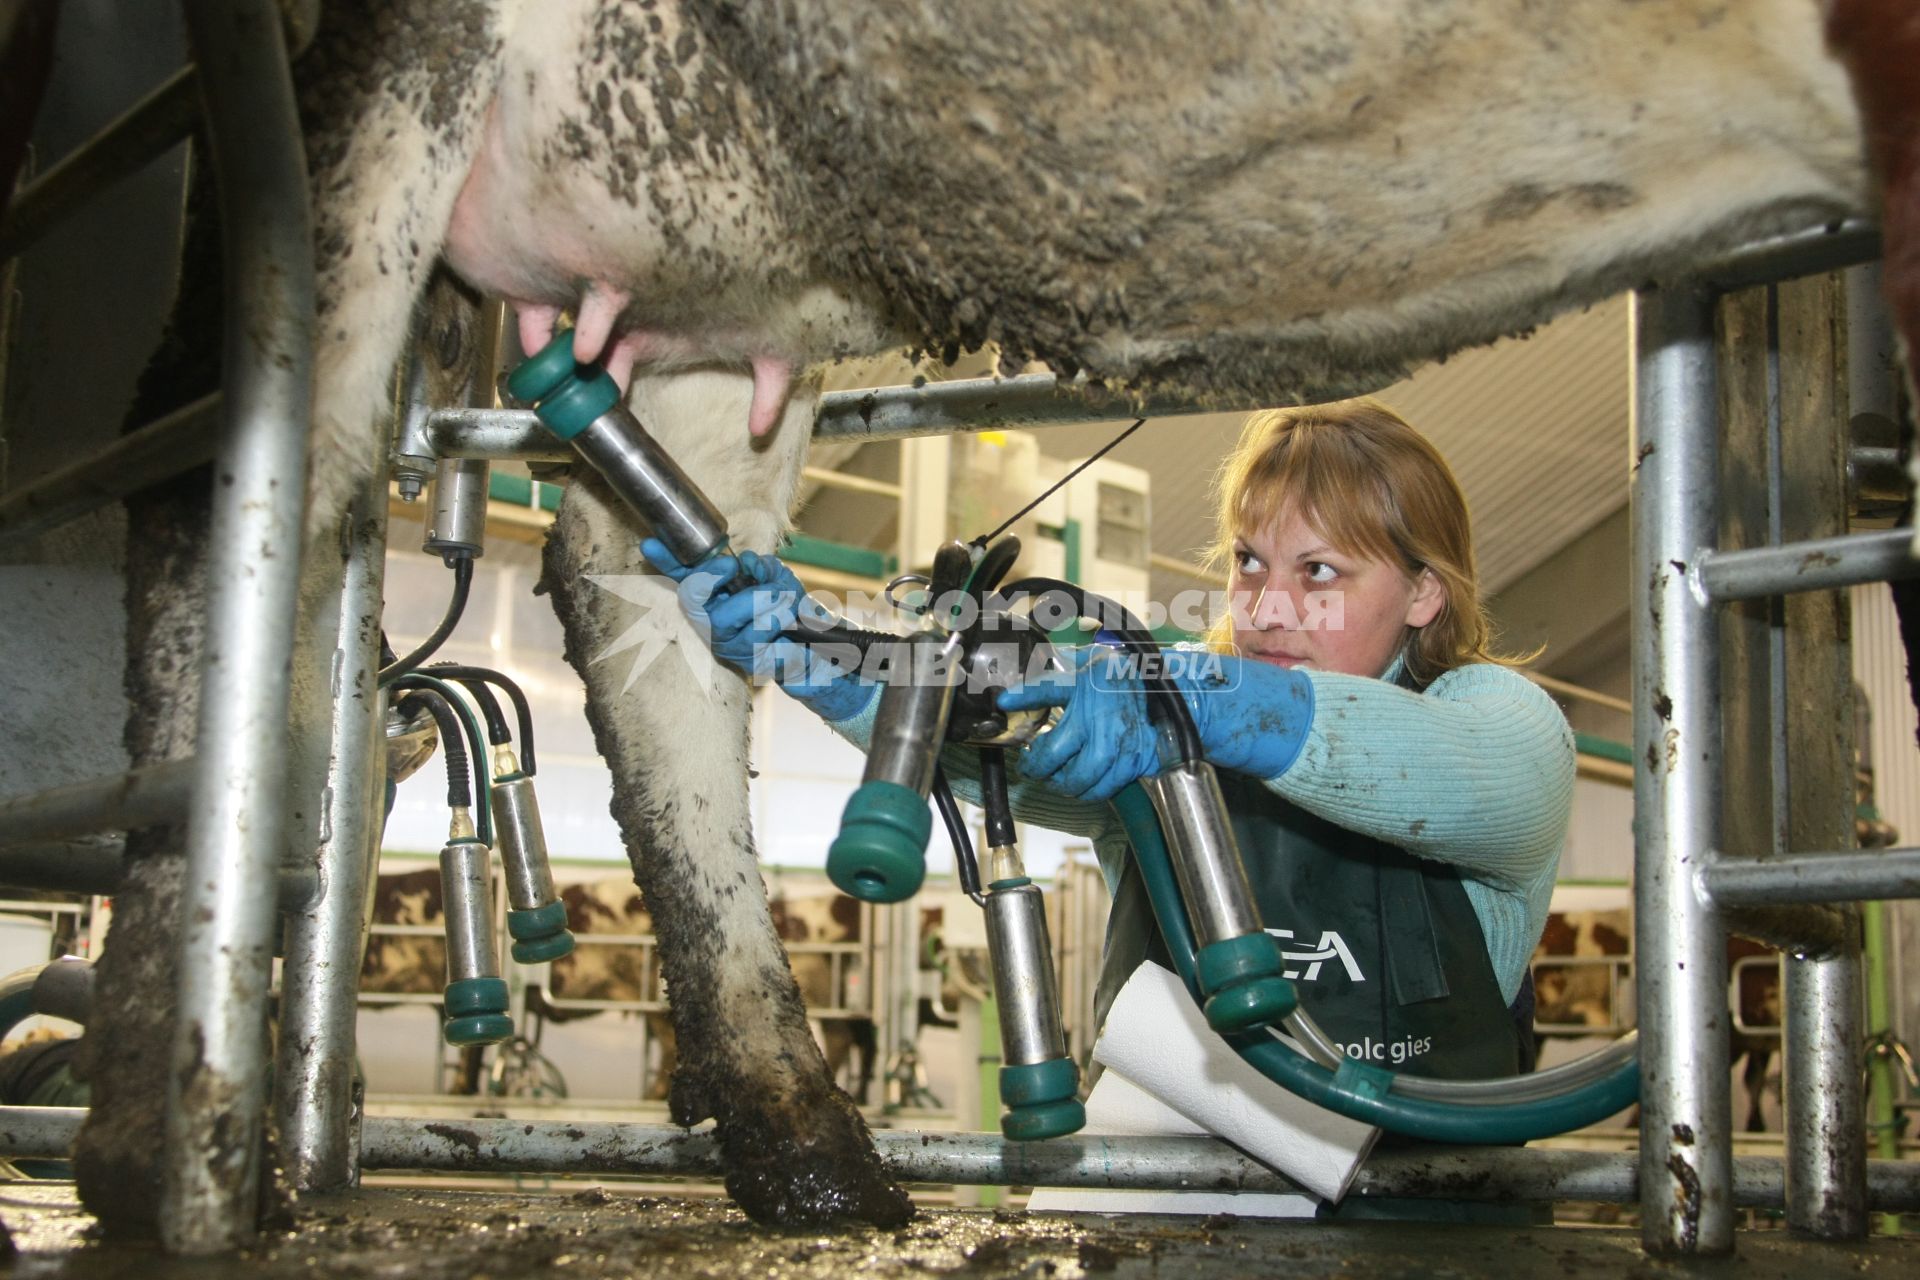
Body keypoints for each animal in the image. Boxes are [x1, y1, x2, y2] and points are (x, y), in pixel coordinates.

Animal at [63, 0, 1920, 1243]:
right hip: (374, 94)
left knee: (628, 586)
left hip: (705, 252)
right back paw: (168, 1132)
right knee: (238, 471)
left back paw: (806, 1149)